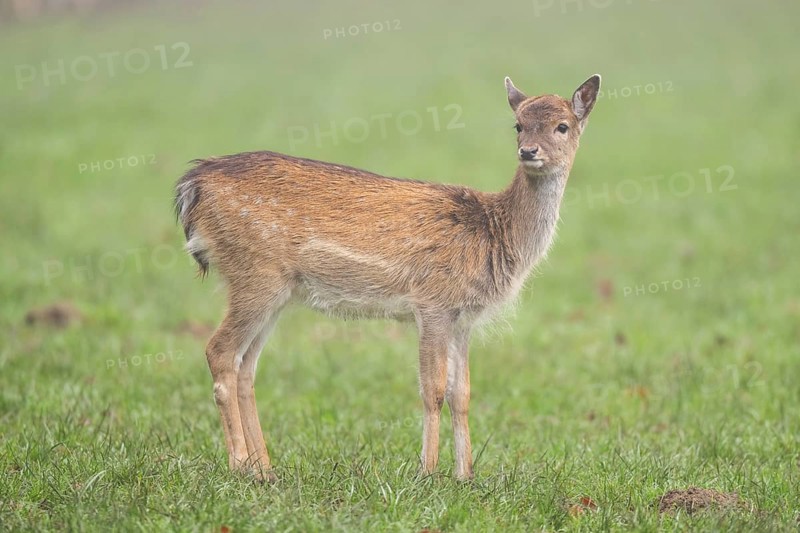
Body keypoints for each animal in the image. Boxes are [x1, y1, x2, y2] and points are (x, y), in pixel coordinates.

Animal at [175, 74, 601, 482]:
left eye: (562, 126)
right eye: (518, 125)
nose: (528, 151)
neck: (496, 233)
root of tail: (192, 185)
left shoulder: (464, 319)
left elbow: (461, 394)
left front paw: (466, 476)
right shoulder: (432, 302)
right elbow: (432, 390)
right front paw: (427, 473)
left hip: (275, 291)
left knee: (246, 367)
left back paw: (265, 470)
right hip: (255, 274)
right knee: (220, 351)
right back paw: (239, 465)